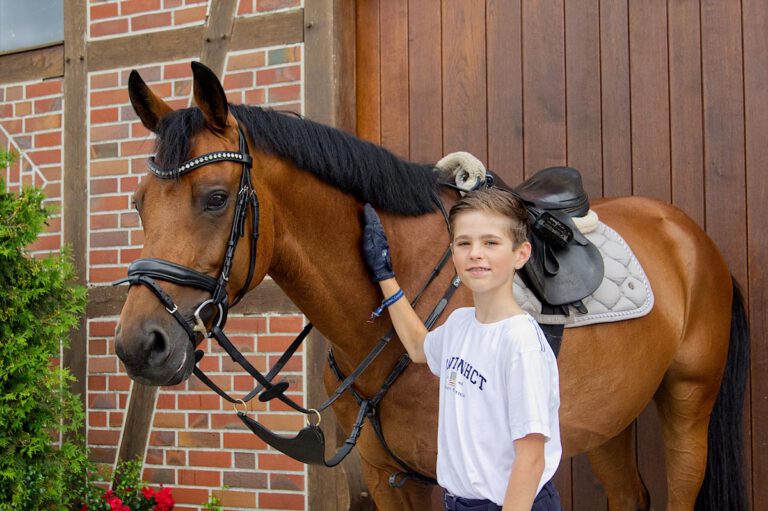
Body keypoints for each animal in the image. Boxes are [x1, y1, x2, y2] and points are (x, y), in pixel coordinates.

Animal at [115, 63, 752, 511]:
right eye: (139, 203)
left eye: (216, 198)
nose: (140, 344)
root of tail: (688, 236)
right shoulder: (390, 476)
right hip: (608, 420)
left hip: (688, 404)